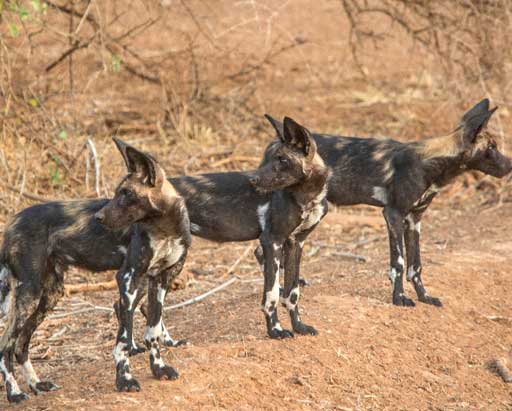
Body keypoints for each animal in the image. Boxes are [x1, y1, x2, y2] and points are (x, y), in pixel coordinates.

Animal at [0, 140, 190, 404]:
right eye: (117, 192)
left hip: (49, 295)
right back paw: (15, 393)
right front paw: (125, 380)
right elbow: (123, 342)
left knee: (20, 344)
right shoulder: (128, 279)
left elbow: (152, 330)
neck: (164, 227)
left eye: (127, 194)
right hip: (30, 294)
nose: (98, 217)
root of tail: (11, 223)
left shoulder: (160, 280)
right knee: (6, 347)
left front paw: (159, 369)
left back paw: (37, 384)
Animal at [168, 117, 328, 340]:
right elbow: (272, 295)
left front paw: (299, 326)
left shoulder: (296, 243)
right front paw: (275, 331)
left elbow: (292, 293)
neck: (306, 196)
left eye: (282, 160)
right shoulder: (271, 242)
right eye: (266, 159)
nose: (253, 180)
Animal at [264, 98, 512, 308]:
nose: (509, 166)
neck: (430, 163)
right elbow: (399, 263)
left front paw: (424, 297)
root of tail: (275, 143)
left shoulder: (414, 219)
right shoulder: (394, 214)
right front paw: (400, 298)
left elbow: (415, 265)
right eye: (492, 148)